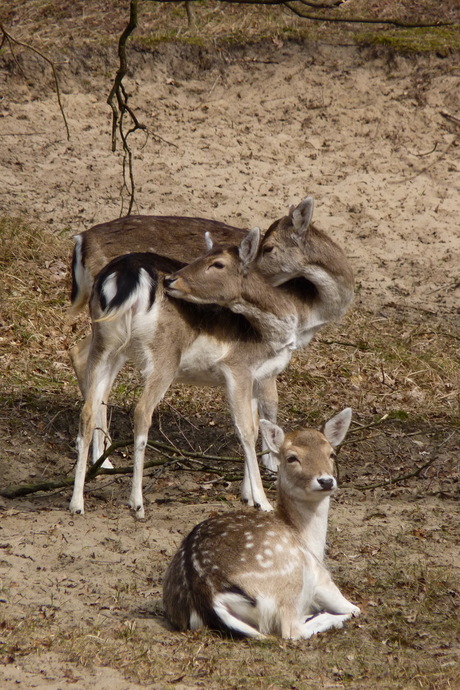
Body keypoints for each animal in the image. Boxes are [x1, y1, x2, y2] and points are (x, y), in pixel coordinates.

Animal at [68, 227, 298, 516]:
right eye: (205, 258)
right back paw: (137, 503)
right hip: (164, 355)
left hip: (107, 342)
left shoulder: (255, 377)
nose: (172, 281)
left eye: (216, 263)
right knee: (141, 411)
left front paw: (248, 495)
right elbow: (246, 430)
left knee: (87, 407)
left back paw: (78, 501)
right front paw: (263, 502)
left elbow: (255, 426)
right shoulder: (238, 369)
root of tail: (124, 275)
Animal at [162, 406, 360, 636]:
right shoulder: (321, 578)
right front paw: (344, 611)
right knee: (292, 630)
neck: (307, 538)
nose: (326, 481)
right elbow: (353, 606)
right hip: (292, 575)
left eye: (331, 453)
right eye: (292, 458)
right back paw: (332, 618)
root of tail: (208, 596)